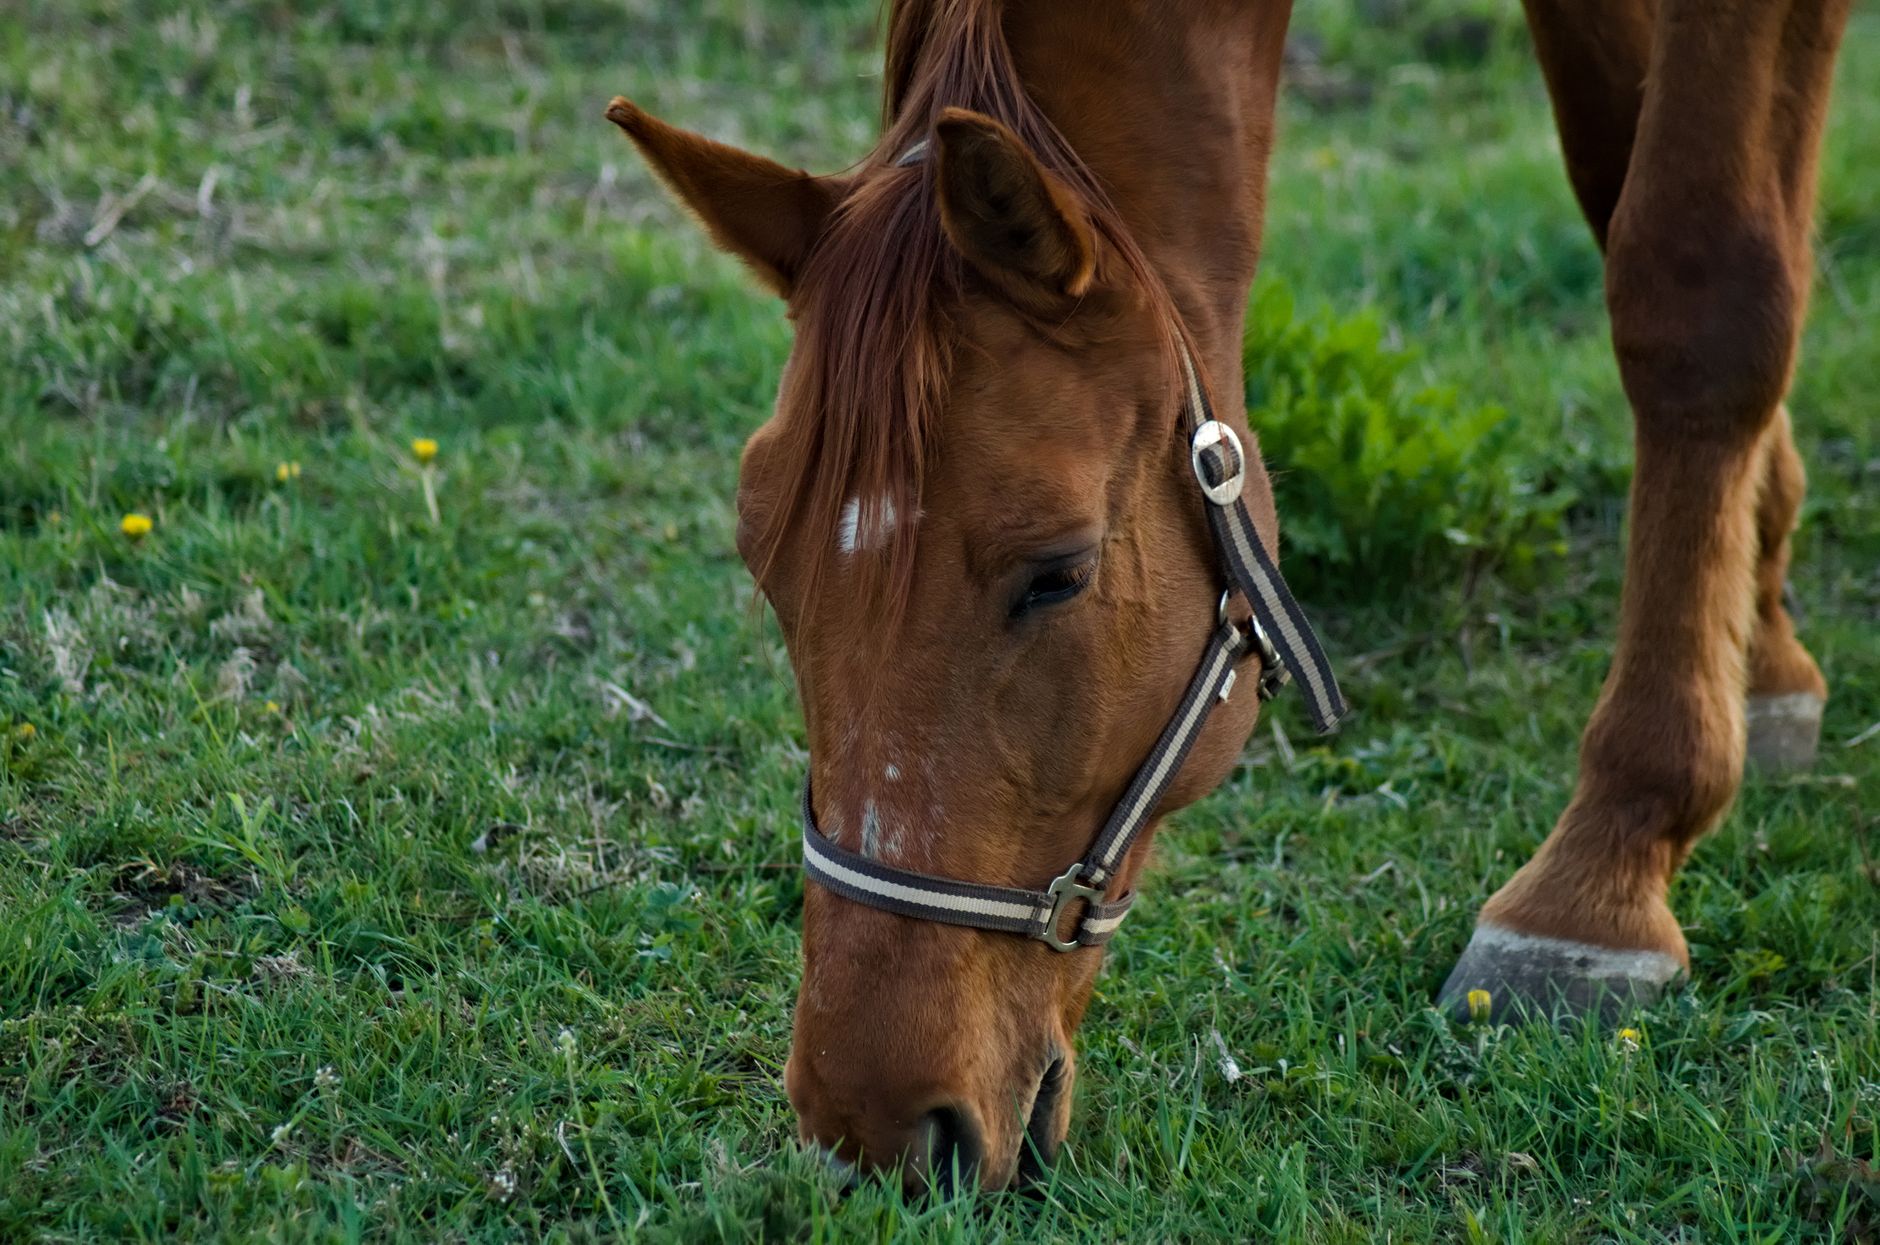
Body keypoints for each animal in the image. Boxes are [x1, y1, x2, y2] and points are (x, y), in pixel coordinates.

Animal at [607, 0, 1850, 1192]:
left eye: (1056, 575)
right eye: (766, 568)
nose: (863, 1125)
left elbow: (1694, 283)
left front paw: (1602, 876)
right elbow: (1616, 175)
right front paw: (1758, 635)